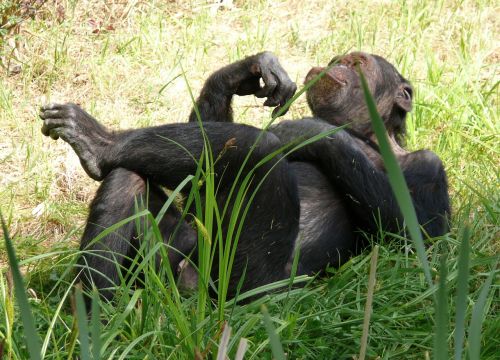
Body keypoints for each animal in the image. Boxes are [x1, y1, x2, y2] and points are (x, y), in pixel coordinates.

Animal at [39, 51, 452, 304]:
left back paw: (100, 143)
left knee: (259, 148)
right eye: (339, 60)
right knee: (129, 177)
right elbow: (201, 189)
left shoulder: (430, 167)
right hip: (166, 264)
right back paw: (97, 315)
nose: (337, 66)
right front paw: (247, 72)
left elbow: (420, 238)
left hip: (246, 286)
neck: (367, 136)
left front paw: (310, 130)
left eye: (357, 62)